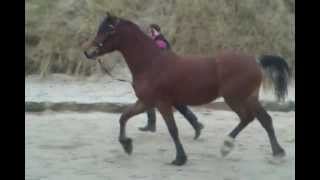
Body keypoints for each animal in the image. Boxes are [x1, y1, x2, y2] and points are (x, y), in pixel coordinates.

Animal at [83, 13, 292, 166]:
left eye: (109, 30)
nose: (88, 52)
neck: (151, 63)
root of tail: (256, 60)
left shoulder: (162, 103)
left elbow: (172, 129)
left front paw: (179, 158)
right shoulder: (145, 102)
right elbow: (124, 116)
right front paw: (127, 145)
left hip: (235, 98)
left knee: (249, 118)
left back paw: (227, 146)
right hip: (249, 98)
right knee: (264, 120)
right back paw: (277, 152)